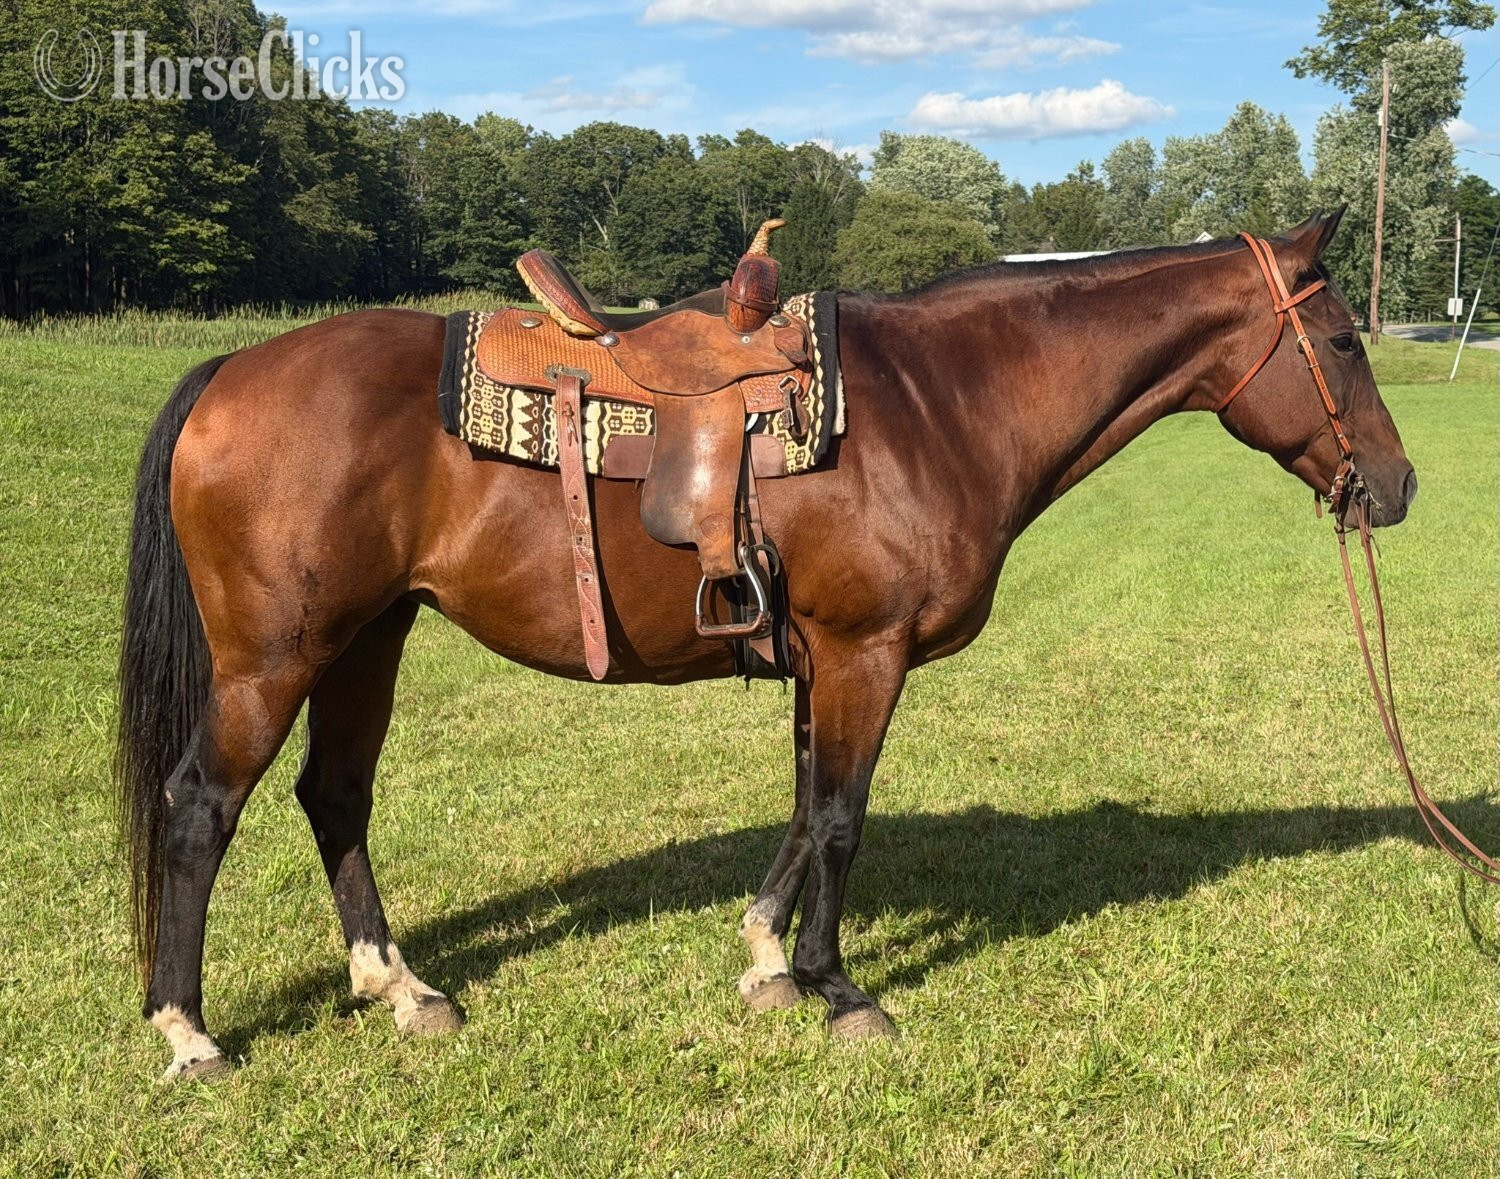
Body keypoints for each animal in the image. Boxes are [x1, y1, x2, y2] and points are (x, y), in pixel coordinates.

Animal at [116, 211, 1416, 1080]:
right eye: (1346, 341)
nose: (1397, 488)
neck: (944, 403)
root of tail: (233, 368)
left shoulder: (819, 660)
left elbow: (802, 808)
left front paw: (765, 960)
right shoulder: (864, 653)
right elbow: (841, 816)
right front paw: (842, 990)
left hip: (366, 640)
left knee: (333, 797)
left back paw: (401, 987)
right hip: (276, 658)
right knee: (198, 807)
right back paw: (190, 1031)